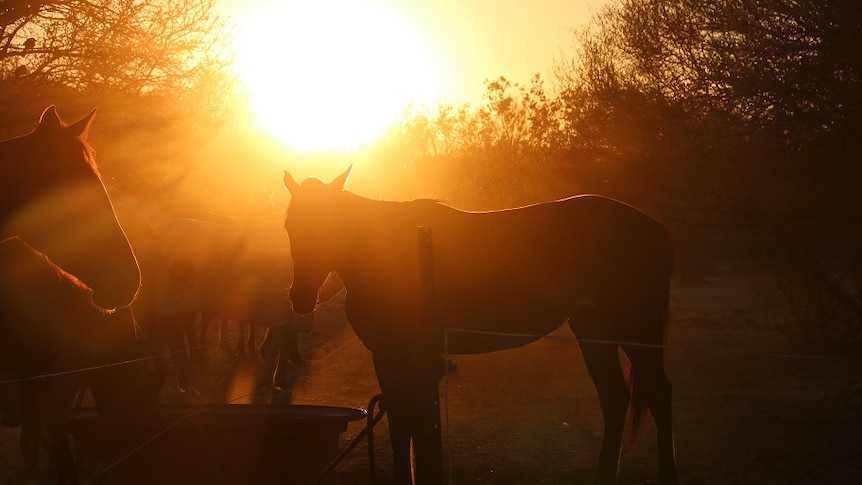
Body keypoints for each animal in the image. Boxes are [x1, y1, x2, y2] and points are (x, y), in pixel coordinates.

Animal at [284, 167, 680, 484]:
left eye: (330, 224)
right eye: (289, 226)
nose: (299, 297)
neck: (391, 252)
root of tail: (657, 229)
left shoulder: (412, 358)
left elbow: (416, 427)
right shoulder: (390, 358)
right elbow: (402, 427)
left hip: (635, 328)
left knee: (659, 394)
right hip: (593, 328)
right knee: (615, 398)